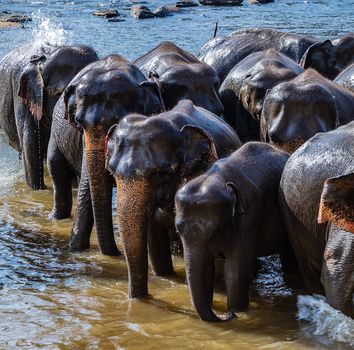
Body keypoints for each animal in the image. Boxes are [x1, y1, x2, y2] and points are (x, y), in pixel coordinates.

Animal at [46, 55, 164, 258]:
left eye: (117, 121)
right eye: (78, 122)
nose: (118, 253)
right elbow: (88, 185)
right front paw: (76, 248)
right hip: (55, 134)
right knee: (57, 170)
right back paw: (55, 218)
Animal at [174, 141, 294, 322]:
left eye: (214, 230)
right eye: (177, 228)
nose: (226, 315)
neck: (216, 179)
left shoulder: (247, 219)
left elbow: (236, 270)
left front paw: (238, 311)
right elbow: (207, 267)